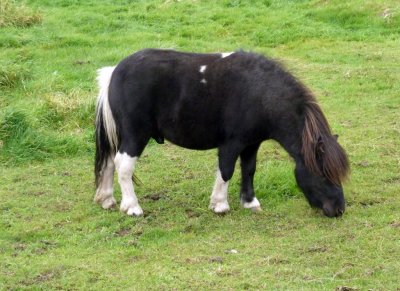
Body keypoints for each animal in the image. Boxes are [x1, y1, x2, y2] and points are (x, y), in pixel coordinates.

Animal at [94, 49, 350, 218]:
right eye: (323, 173)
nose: (338, 209)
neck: (260, 93)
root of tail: (114, 72)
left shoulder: (251, 144)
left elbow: (249, 169)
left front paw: (250, 202)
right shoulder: (231, 143)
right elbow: (226, 171)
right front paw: (220, 205)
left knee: (109, 162)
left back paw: (106, 199)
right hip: (136, 136)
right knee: (123, 165)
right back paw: (132, 207)